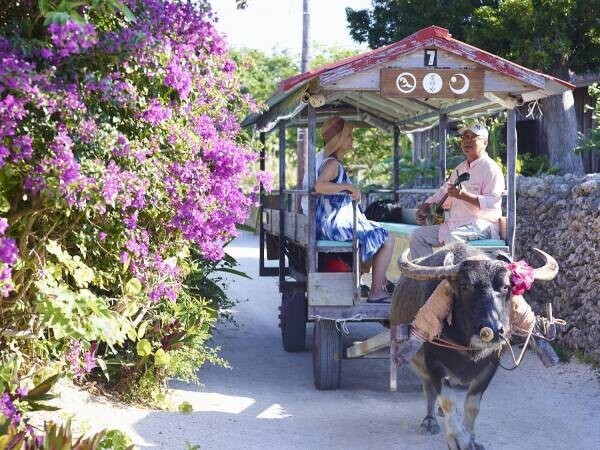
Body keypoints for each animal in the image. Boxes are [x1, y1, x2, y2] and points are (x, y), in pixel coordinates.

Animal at [392, 243, 560, 450]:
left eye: (506, 286)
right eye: (465, 286)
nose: (493, 330)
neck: (468, 347)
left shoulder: (490, 366)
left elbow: (472, 405)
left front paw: (471, 437)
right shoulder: (433, 363)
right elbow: (448, 400)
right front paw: (459, 439)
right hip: (419, 363)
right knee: (429, 389)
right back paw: (430, 420)